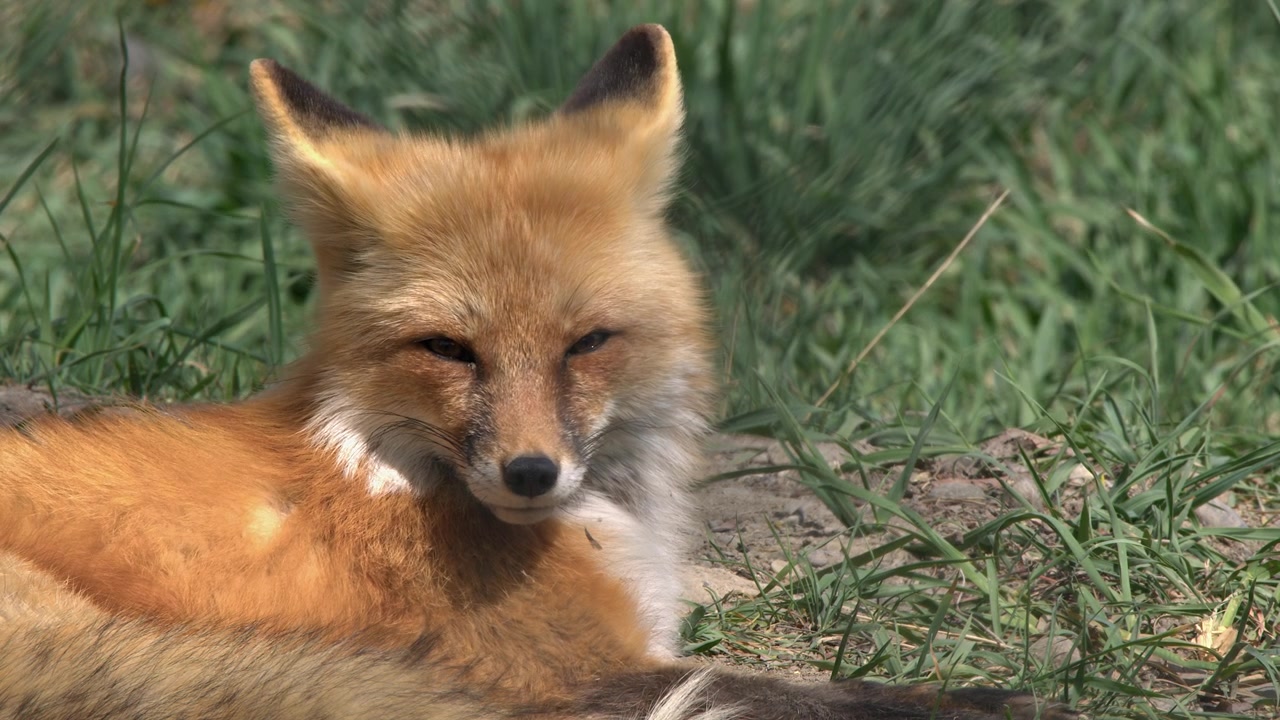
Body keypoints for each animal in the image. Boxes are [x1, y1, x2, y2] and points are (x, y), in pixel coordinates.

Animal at [0, 25, 1072, 720]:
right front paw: (1009, 700)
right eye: (448, 349)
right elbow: (840, 696)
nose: (529, 473)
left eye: (587, 342)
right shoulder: (565, 668)